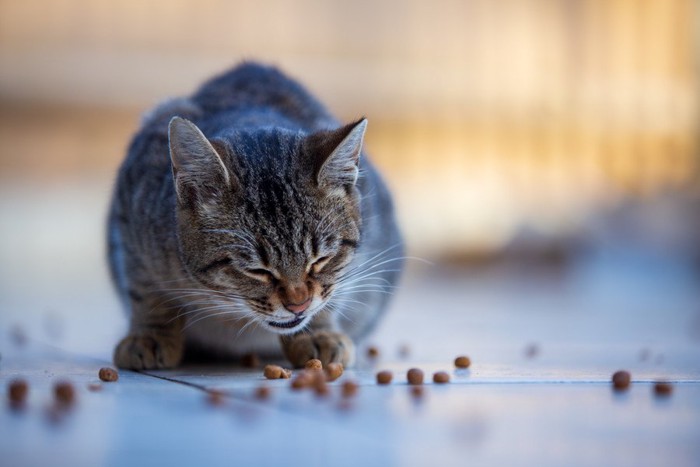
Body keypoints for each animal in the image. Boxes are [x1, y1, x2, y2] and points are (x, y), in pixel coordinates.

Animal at [109, 62, 404, 370]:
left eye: (321, 260)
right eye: (256, 270)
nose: (298, 305)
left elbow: (333, 290)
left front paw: (318, 333)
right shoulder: (130, 218)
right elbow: (145, 290)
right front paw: (150, 335)